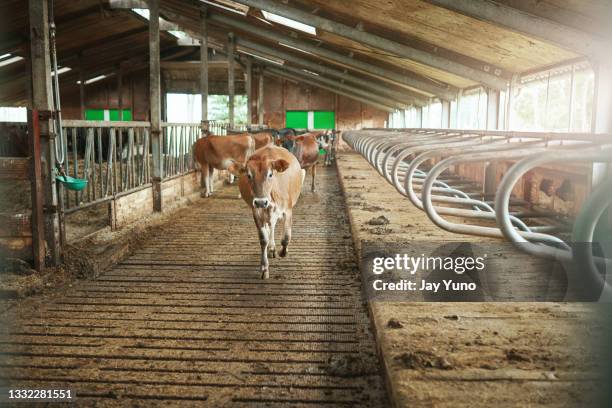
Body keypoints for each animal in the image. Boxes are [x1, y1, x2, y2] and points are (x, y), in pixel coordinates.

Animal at [228, 144, 304, 280]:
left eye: (270, 174)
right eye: (248, 175)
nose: (260, 202)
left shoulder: (288, 210)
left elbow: (286, 237)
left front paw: (283, 252)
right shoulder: (257, 212)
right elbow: (263, 239)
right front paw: (264, 268)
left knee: (273, 225)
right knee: (270, 226)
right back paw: (271, 248)